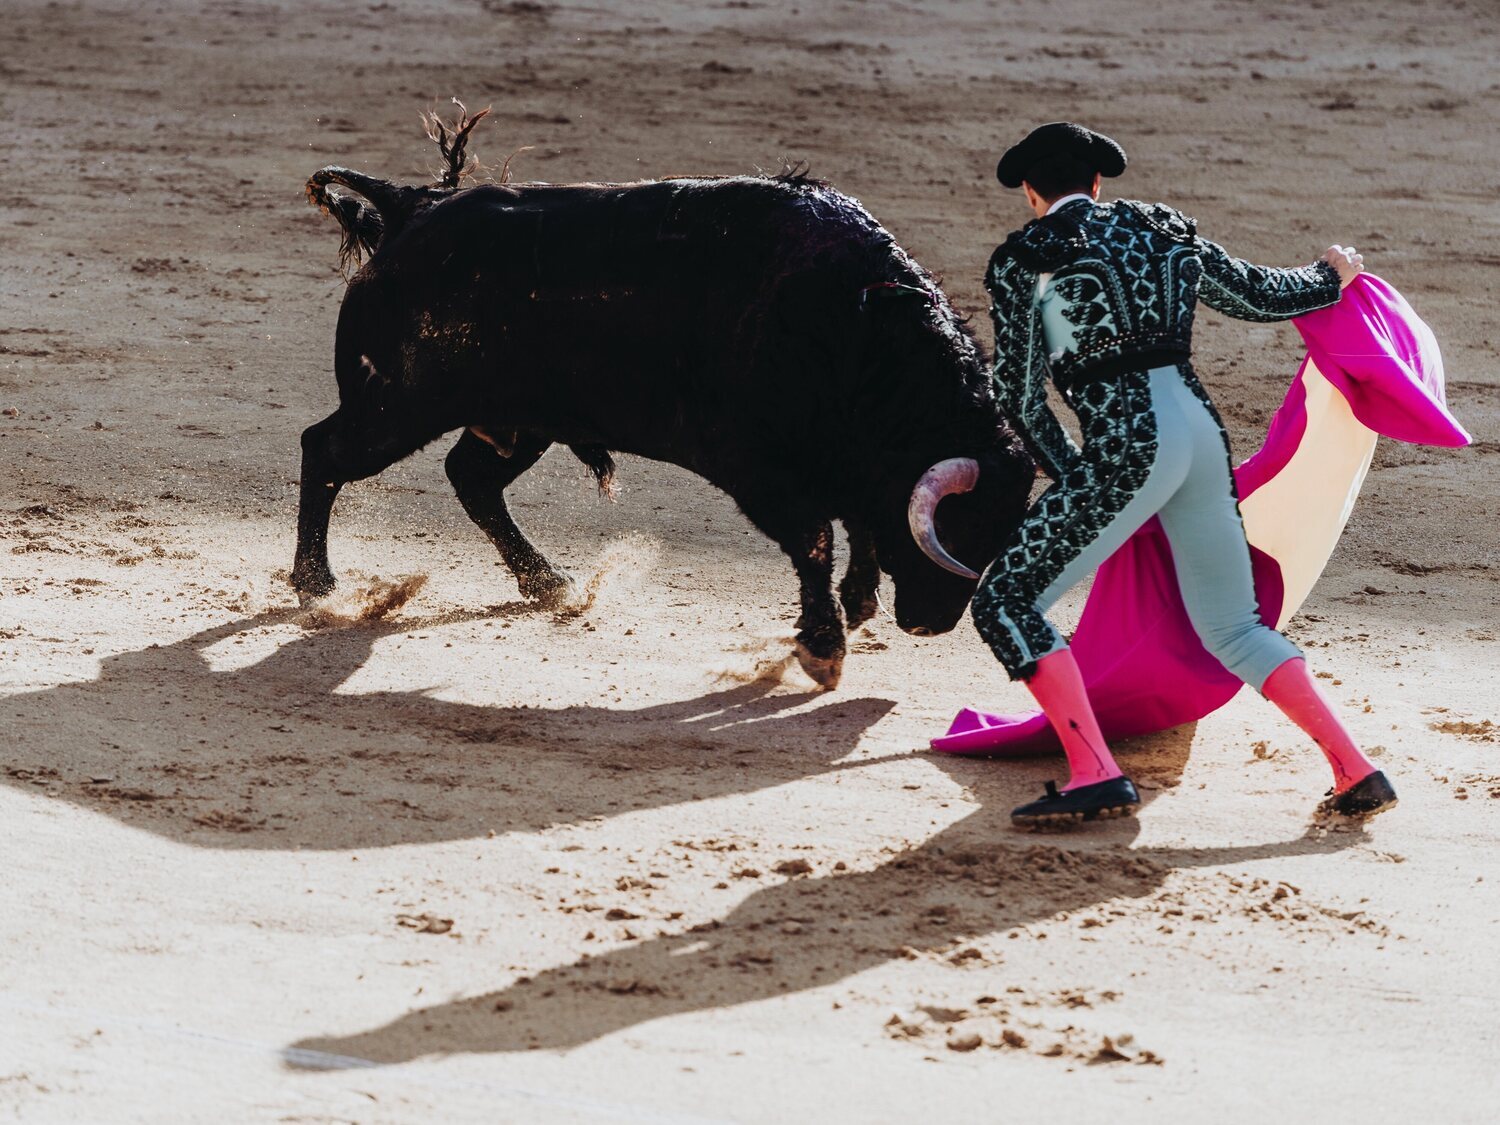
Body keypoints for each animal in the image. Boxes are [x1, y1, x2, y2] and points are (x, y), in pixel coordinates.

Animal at [295, 171, 1032, 693]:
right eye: (960, 528)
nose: (931, 623)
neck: (857, 334)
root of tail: (409, 208)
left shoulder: (846, 469)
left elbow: (863, 526)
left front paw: (855, 604)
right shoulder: (759, 472)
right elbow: (817, 540)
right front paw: (824, 648)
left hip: (520, 421)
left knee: (470, 479)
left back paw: (549, 581)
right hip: (399, 408)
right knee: (324, 452)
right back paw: (315, 585)